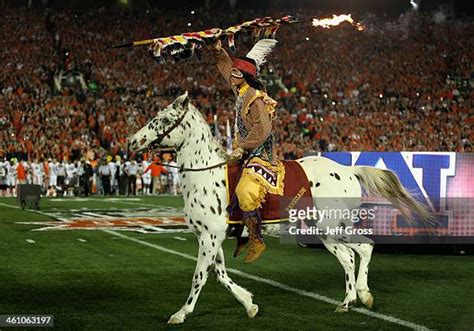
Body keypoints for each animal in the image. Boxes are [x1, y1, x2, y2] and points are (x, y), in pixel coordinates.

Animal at [128, 92, 432, 326]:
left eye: (163, 119)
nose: (132, 141)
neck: (205, 174)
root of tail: (348, 170)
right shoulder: (210, 238)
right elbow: (220, 275)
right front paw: (249, 303)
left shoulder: (210, 237)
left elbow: (199, 277)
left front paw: (181, 313)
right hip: (330, 230)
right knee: (358, 252)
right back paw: (357, 297)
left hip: (331, 228)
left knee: (357, 252)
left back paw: (351, 299)